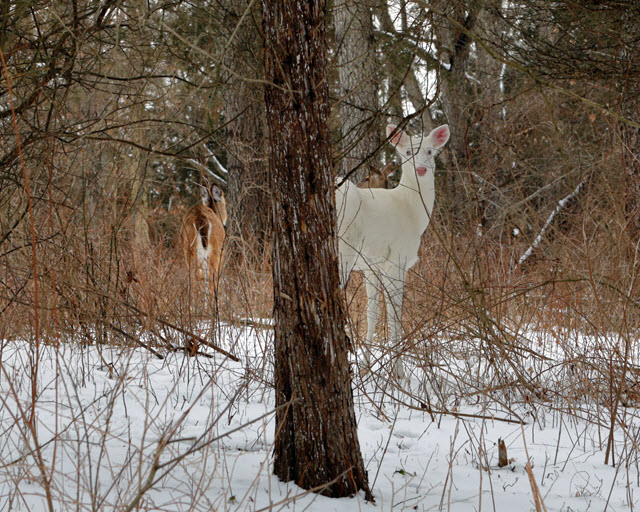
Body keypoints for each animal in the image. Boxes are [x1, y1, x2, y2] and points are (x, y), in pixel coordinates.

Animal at [336, 123, 450, 376]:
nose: (420, 169)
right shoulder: (397, 260)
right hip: (343, 248)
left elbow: (372, 313)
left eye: (430, 151)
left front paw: (366, 368)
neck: (411, 210)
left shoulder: (372, 265)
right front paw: (398, 373)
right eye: (407, 152)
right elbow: (395, 314)